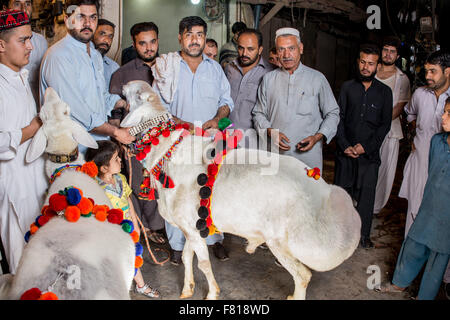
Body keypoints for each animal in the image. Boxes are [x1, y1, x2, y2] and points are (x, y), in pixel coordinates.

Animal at [119, 80, 362, 300]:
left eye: (139, 95)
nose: (125, 84)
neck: (167, 152)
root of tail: (322, 195)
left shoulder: (192, 227)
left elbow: (204, 264)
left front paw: (212, 293)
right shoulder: (190, 228)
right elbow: (188, 258)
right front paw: (187, 289)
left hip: (280, 242)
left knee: (303, 275)